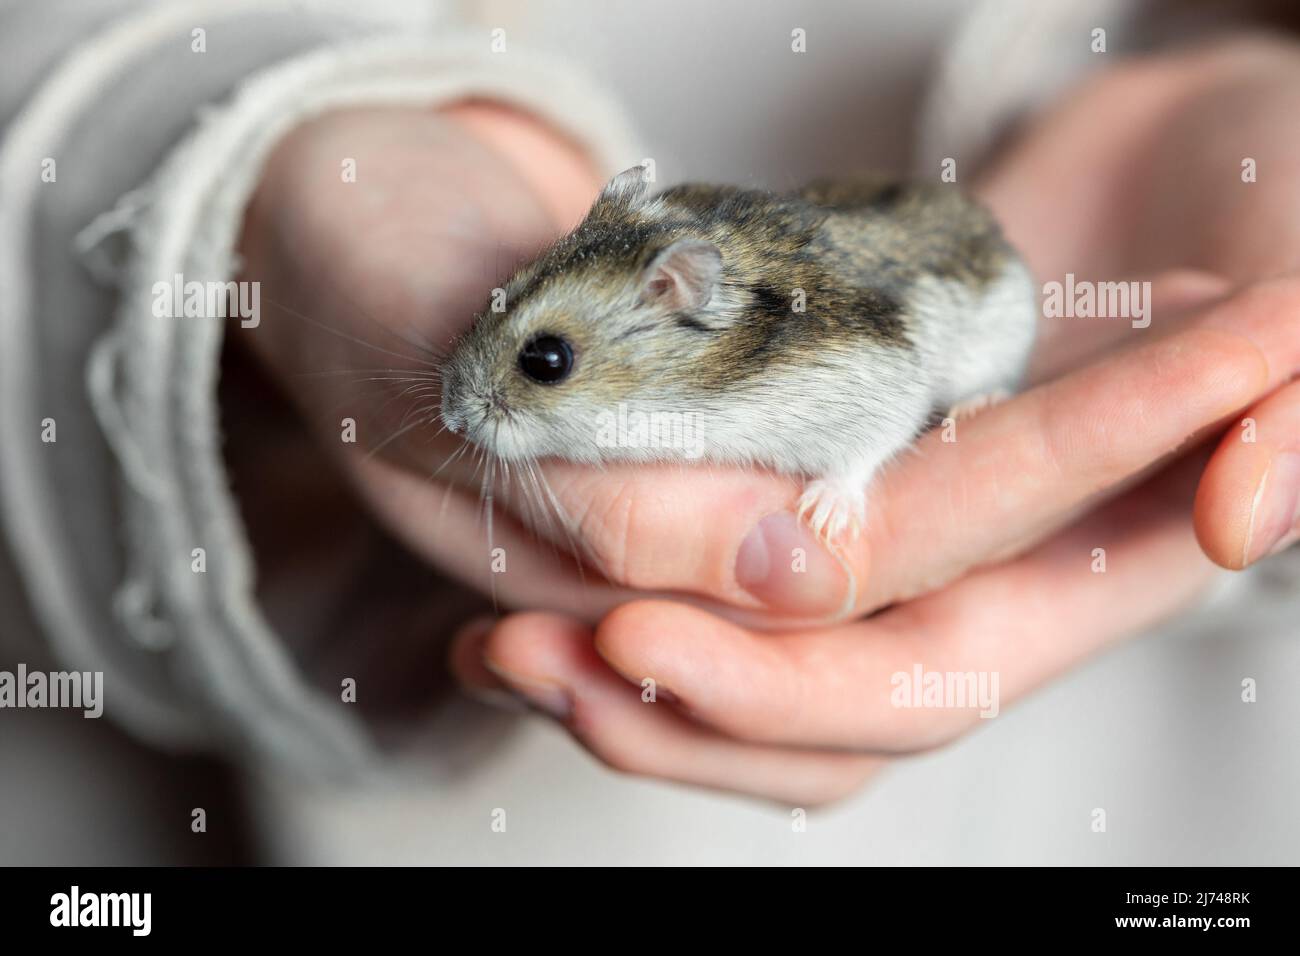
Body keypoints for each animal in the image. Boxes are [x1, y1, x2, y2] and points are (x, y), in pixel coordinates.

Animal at [441, 166, 1040, 546]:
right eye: (500, 289)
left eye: (547, 360)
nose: (451, 417)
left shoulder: (878, 383)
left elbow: (866, 451)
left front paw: (821, 516)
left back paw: (975, 406)